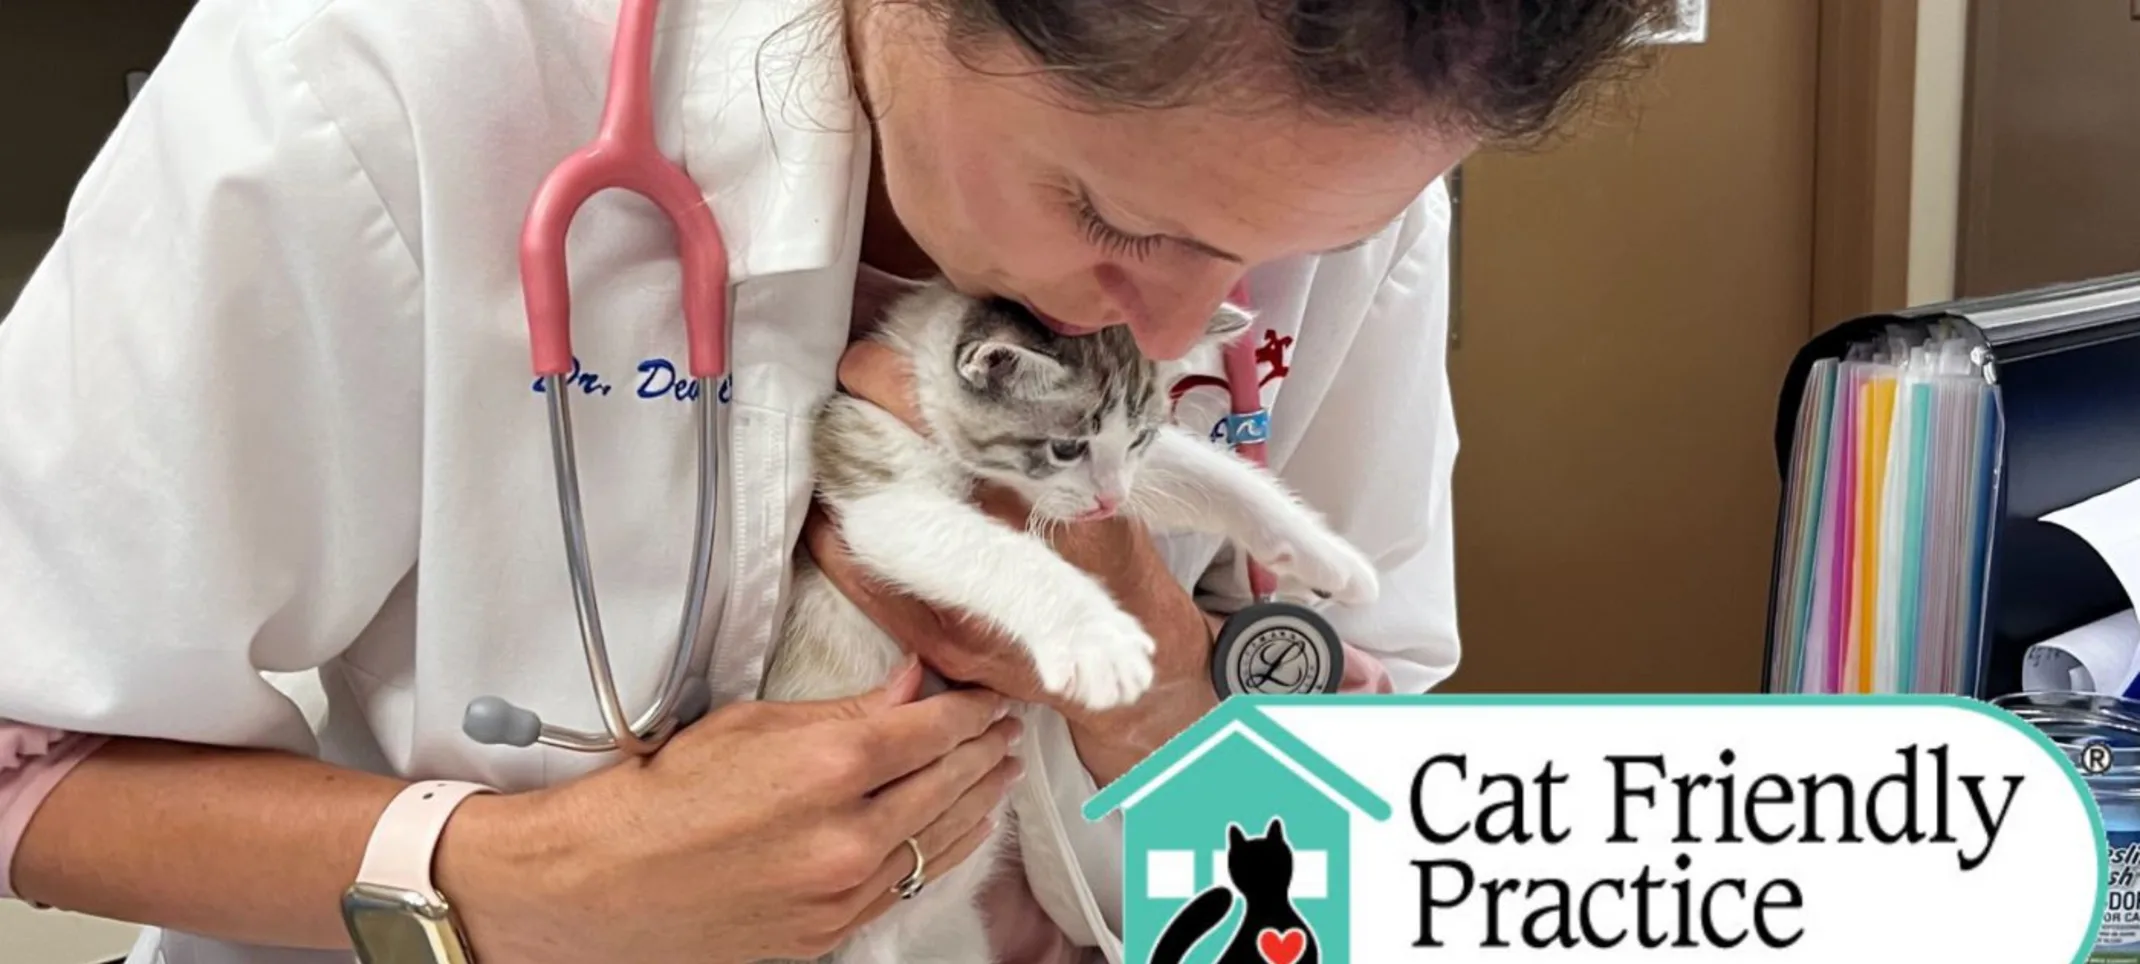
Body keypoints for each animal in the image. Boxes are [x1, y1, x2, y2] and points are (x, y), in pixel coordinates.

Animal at [761, 282, 1378, 964]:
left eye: (1137, 439)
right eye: (1065, 446)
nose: (1109, 501)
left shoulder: (1129, 477)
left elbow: (1215, 475)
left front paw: (1332, 558)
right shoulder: (884, 490)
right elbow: (1003, 555)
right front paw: (1101, 641)